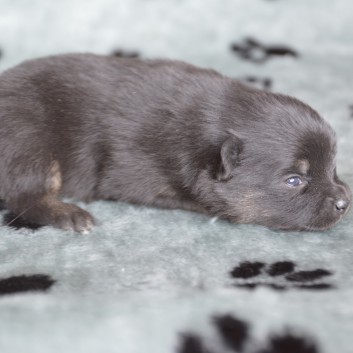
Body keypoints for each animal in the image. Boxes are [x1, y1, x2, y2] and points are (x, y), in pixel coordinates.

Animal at [0, 53, 350, 232]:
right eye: (294, 180)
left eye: (333, 166)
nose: (344, 203)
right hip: (28, 142)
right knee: (25, 196)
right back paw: (68, 214)